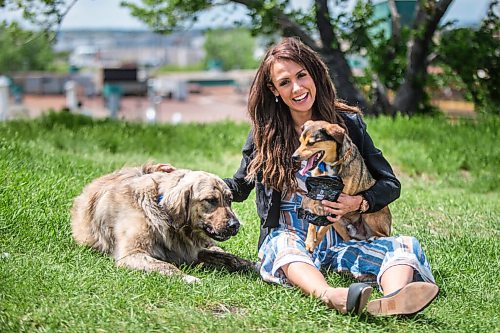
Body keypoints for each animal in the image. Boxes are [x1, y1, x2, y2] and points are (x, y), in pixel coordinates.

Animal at [71, 162, 254, 282]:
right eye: (211, 200)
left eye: (229, 200)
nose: (235, 225)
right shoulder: (132, 254)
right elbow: (167, 266)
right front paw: (189, 278)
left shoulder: (192, 250)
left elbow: (229, 257)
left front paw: (252, 265)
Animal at [292, 120, 392, 250]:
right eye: (300, 141)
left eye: (311, 143)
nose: (294, 157)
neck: (329, 165)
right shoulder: (315, 197)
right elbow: (312, 224)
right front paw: (310, 242)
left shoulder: (336, 208)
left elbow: (322, 230)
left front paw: (313, 244)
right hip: (340, 224)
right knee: (349, 239)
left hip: (370, 215)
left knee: (384, 235)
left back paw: (374, 237)